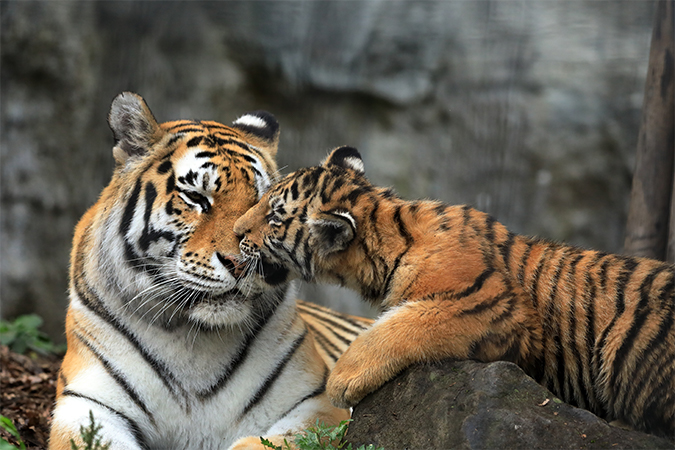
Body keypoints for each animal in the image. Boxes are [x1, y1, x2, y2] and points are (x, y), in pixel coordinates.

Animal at [49, 92, 372, 450]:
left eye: (265, 206)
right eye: (196, 197)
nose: (242, 263)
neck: (195, 341)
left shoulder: (315, 403)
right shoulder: (89, 405)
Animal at [235, 146, 675, 438]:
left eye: (274, 217)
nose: (237, 231)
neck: (389, 231)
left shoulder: (493, 304)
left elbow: (408, 323)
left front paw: (344, 378)